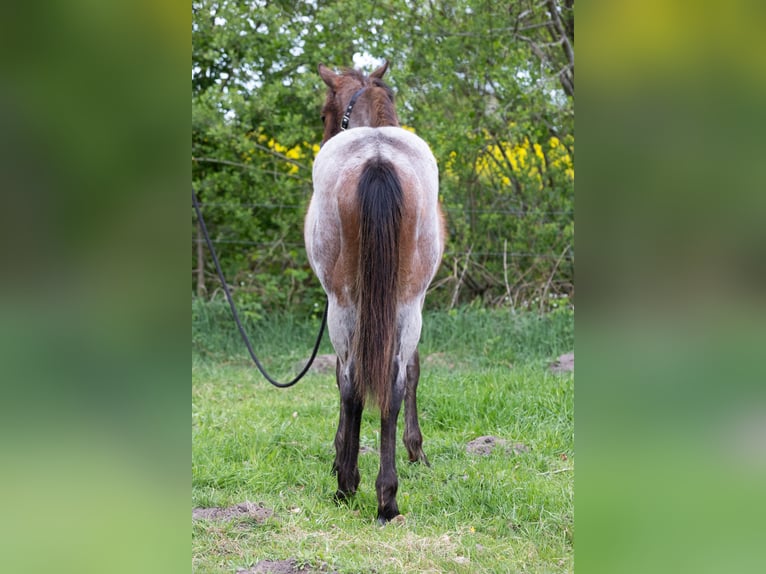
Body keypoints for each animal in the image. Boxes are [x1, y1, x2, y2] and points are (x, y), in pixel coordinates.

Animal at [304, 60, 446, 524]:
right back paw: (387, 498)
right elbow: (412, 371)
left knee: (351, 383)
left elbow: (341, 378)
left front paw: (338, 456)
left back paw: (348, 484)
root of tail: (379, 157)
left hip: (345, 304)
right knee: (393, 385)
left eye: (324, 113)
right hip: (403, 304)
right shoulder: (415, 302)